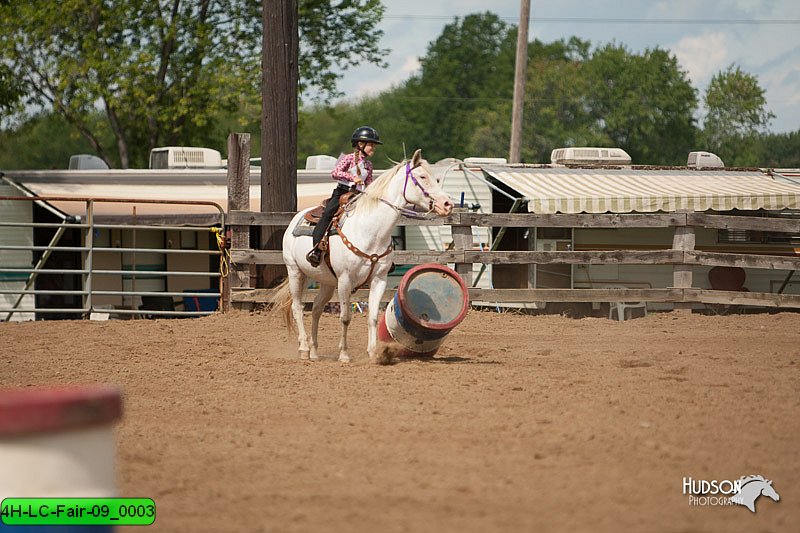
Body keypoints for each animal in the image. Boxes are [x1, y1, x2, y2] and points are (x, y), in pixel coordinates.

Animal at [276, 152, 450, 364]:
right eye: (423, 177)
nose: (447, 204)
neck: (370, 230)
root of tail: (295, 217)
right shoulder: (345, 280)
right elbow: (345, 317)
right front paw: (344, 354)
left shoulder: (379, 280)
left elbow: (373, 317)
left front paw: (374, 353)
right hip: (295, 272)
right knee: (297, 308)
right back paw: (303, 349)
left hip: (326, 281)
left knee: (316, 308)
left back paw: (315, 351)